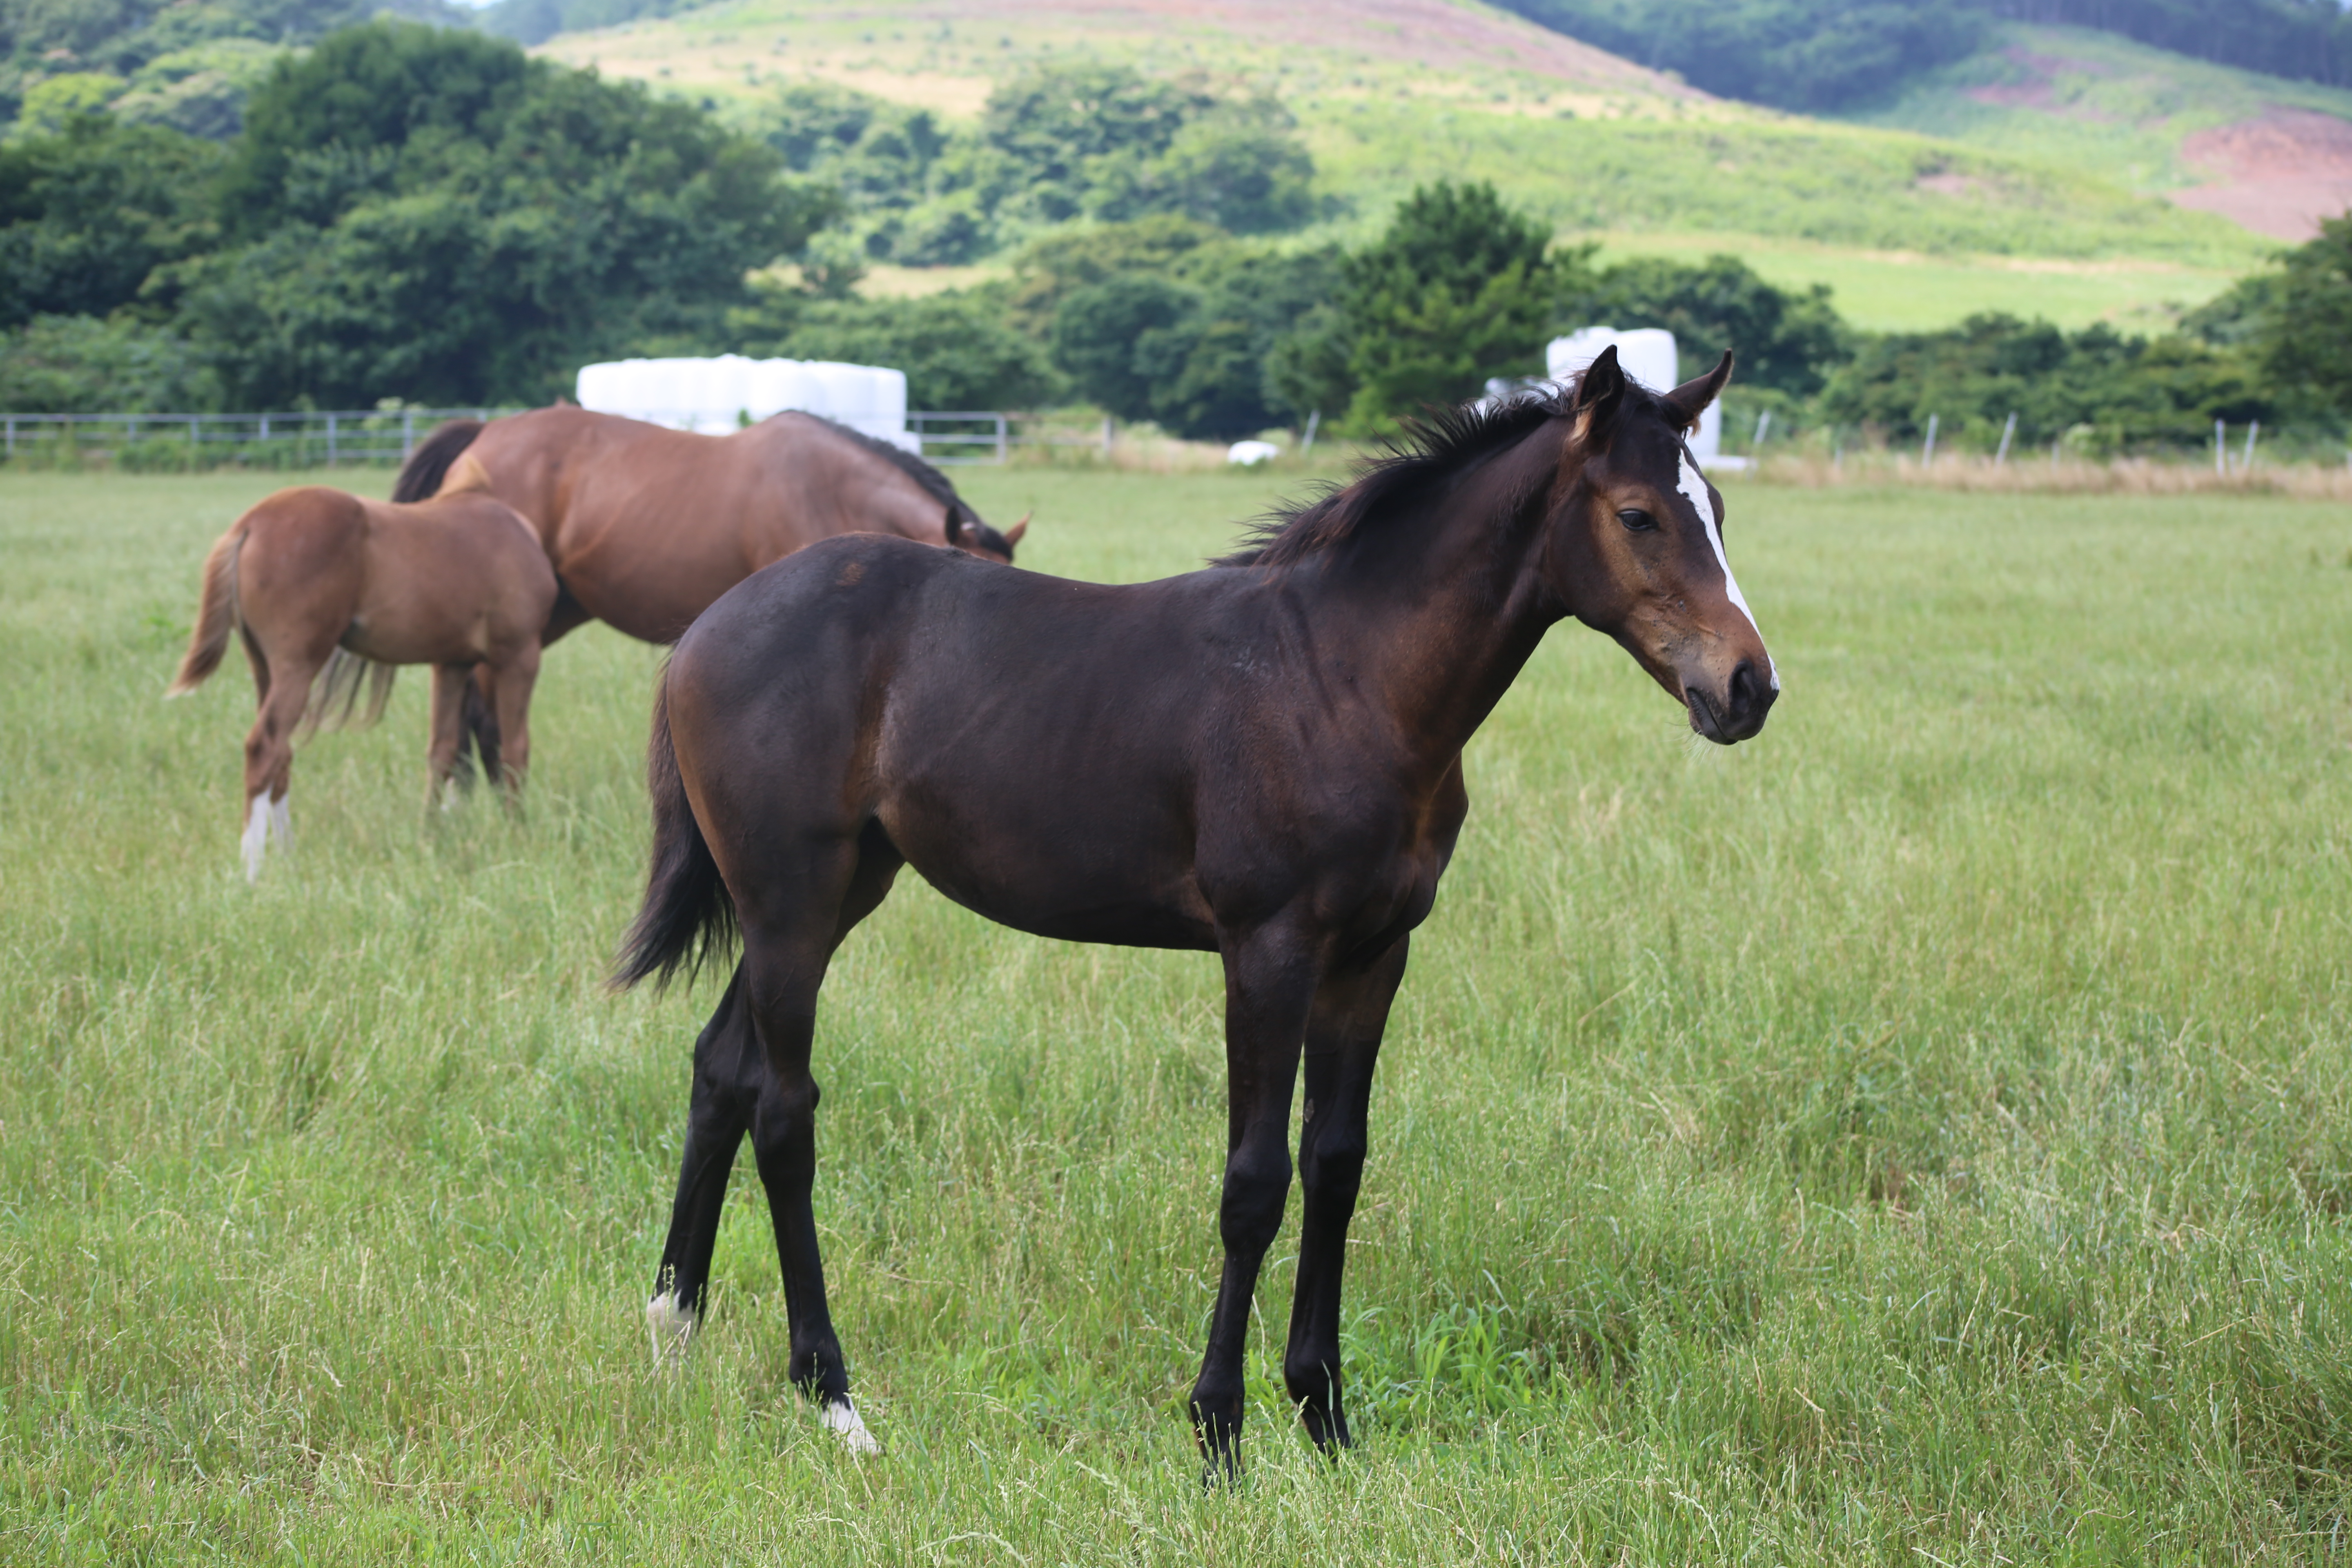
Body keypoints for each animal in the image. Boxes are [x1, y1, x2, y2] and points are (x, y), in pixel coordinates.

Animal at [168, 484, 557, 879]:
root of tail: (250, 524)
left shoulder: (452, 665)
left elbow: (443, 751)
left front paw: (429, 837)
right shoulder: (518, 655)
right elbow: (514, 749)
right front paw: (518, 834)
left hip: (263, 668)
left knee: (282, 754)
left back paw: (289, 859)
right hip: (298, 665)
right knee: (265, 747)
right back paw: (252, 872)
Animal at [616, 345, 1768, 1476]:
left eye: (1716, 504)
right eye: (1638, 515)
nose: (1747, 687)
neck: (1341, 678)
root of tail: (705, 629)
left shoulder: (1372, 956)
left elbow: (1335, 1164)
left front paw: (1324, 1417)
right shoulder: (1266, 950)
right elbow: (1254, 1181)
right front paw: (1219, 1429)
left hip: (830, 894)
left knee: (721, 1069)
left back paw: (675, 1329)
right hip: (791, 903)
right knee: (783, 1109)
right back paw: (833, 1396)